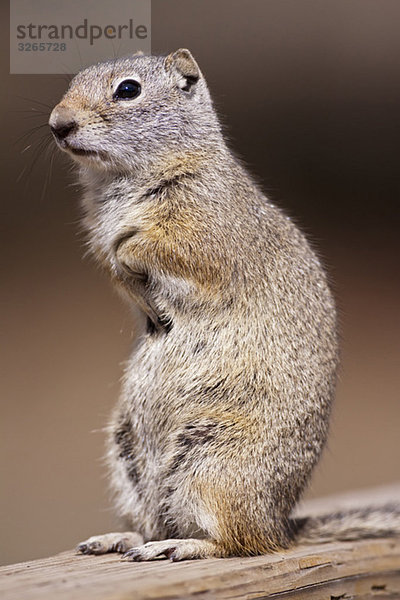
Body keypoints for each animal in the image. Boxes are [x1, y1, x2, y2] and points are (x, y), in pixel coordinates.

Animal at [48, 49, 398, 560]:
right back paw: (124, 539)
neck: (117, 183)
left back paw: (184, 547)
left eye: (128, 89)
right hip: (128, 457)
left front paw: (137, 266)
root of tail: (281, 525)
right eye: (73, 81)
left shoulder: (202, 229)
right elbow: (112, 264)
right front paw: (140, 297)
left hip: (214, 464)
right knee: (157, 522)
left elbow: (149, 248)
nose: (58, 124)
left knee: (237, 540)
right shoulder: (97, 233)